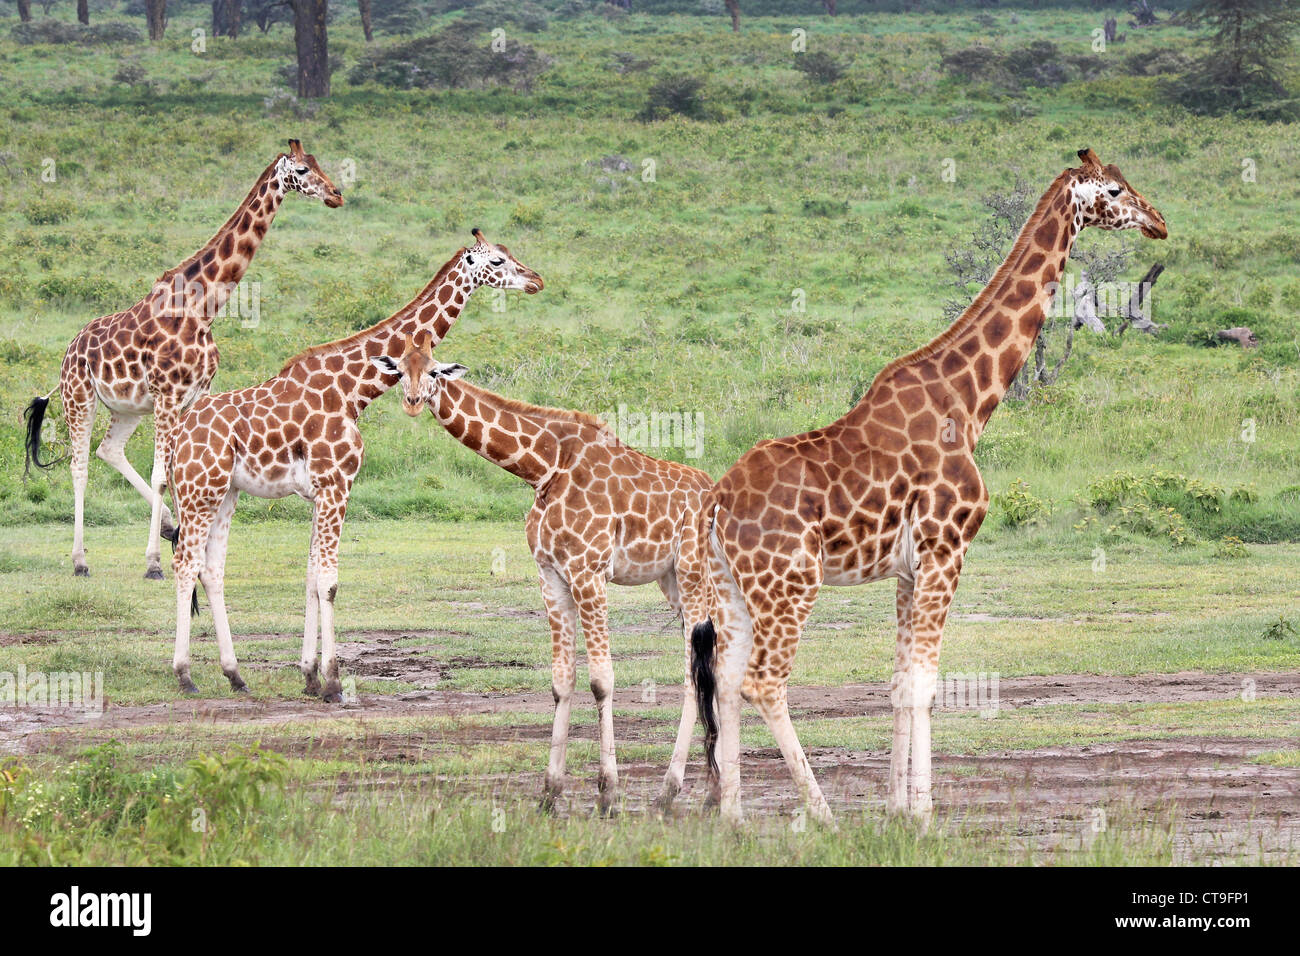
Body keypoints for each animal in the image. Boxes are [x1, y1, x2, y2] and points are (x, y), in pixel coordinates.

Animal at [24, 138, 343, 580]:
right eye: (300, 170)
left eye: (317, 162)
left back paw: (167, 526)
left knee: (109, 450)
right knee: (80, 466)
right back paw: (80, 560)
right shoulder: (168, 395)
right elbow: (162, 475)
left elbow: (179, 470)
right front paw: (154, 562)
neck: (204, 307)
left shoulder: (190, 397)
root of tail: (69, 351)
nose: (336, 194)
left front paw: (183, 541)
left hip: (127, 408)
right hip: (80, 397)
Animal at [167, 232, 543, 702]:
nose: (535, 280)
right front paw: (333, 682)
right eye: (497, 261)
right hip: (200, 490)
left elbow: (311, 576)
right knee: (185, 565)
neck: (352, 390)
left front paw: (309, 677)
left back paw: (235, 675)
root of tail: (176, 436)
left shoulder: (320, 492)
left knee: (211, 569)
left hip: (225, 492)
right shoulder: (337, 485)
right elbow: (328, 581)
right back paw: (184, 675)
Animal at [379, 335, 717, 816]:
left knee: (697, 670)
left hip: (691, 571)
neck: (543, 469)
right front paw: (549, 792)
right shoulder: (551, 575)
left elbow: (601, 680)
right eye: (398, 369)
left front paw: (609, 794)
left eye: (434, 371)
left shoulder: (588, 572)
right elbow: (562, 680)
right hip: (672, 578)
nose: (411, 401)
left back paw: (673, 791)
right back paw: (706, 792)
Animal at [691, 153, 1170, 827]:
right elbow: (924, 684)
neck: (969, 402)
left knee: (729, 680)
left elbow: (898, 684)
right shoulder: (948, 550)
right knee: (765, 681)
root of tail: (718, 502)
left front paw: (896, 808)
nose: (1158, 222)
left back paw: (733, 818)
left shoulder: (907, 568)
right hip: (790, 583)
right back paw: (824, 817)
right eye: (1114, 190)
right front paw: (922, 815)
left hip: (733, 588)